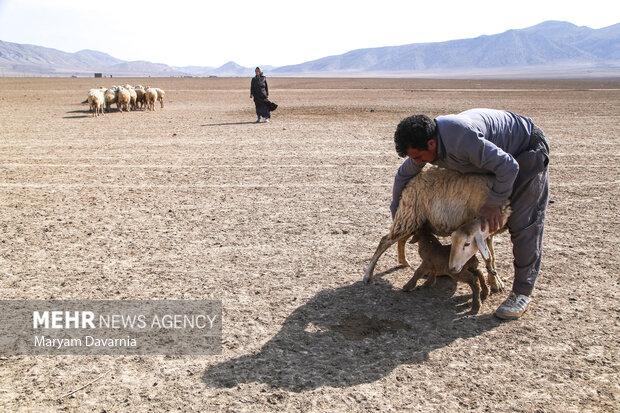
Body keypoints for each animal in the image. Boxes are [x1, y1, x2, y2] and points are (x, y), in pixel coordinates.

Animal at [364, 166, 508, 292]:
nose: (453, 267)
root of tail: (411, 181)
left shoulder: (488, 231)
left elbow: (491, 256)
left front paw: (496, 281)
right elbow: (488, 257)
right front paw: (495, 282)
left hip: (415, 220)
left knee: (401, 239)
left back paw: (404, 261)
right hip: (409, 215)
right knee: (385, 241)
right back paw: (368, 275)